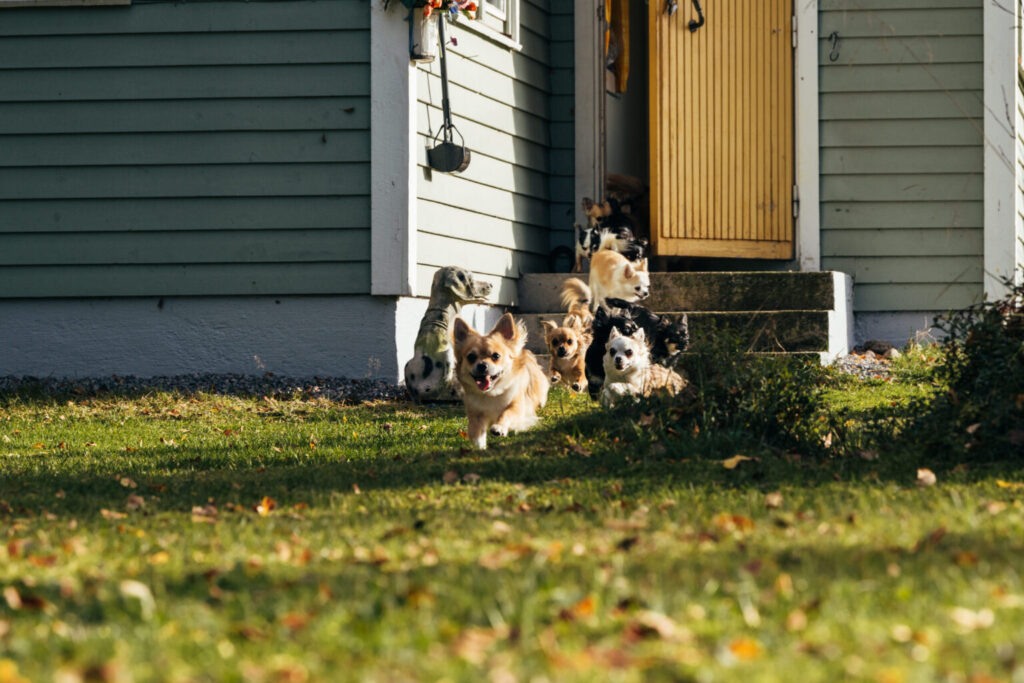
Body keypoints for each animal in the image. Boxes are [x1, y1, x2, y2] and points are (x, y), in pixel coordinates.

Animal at [450, 313, 548, 450]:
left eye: (496, 356)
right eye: (471, 357)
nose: (482, 365)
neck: (491, 393)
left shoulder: (516, 407)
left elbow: (506, 413)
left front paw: (499, 427)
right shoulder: (476, 416)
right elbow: (476, 433)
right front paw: (479, 448)